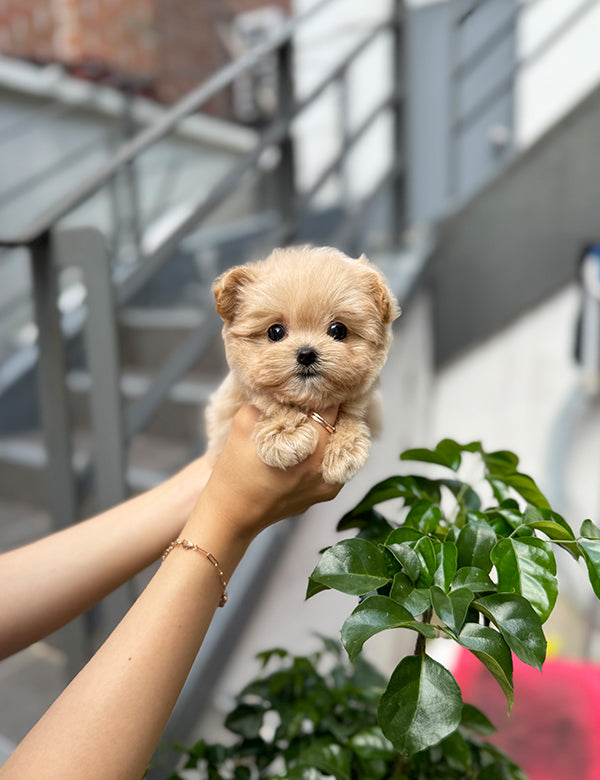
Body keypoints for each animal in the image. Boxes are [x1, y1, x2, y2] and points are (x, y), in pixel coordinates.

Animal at [204, 247, 400, 484]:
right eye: (275, 332)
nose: (306, 354)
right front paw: (285, 432)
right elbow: (270, 402)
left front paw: (344, 448)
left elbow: (352, 413)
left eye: (338, 330)